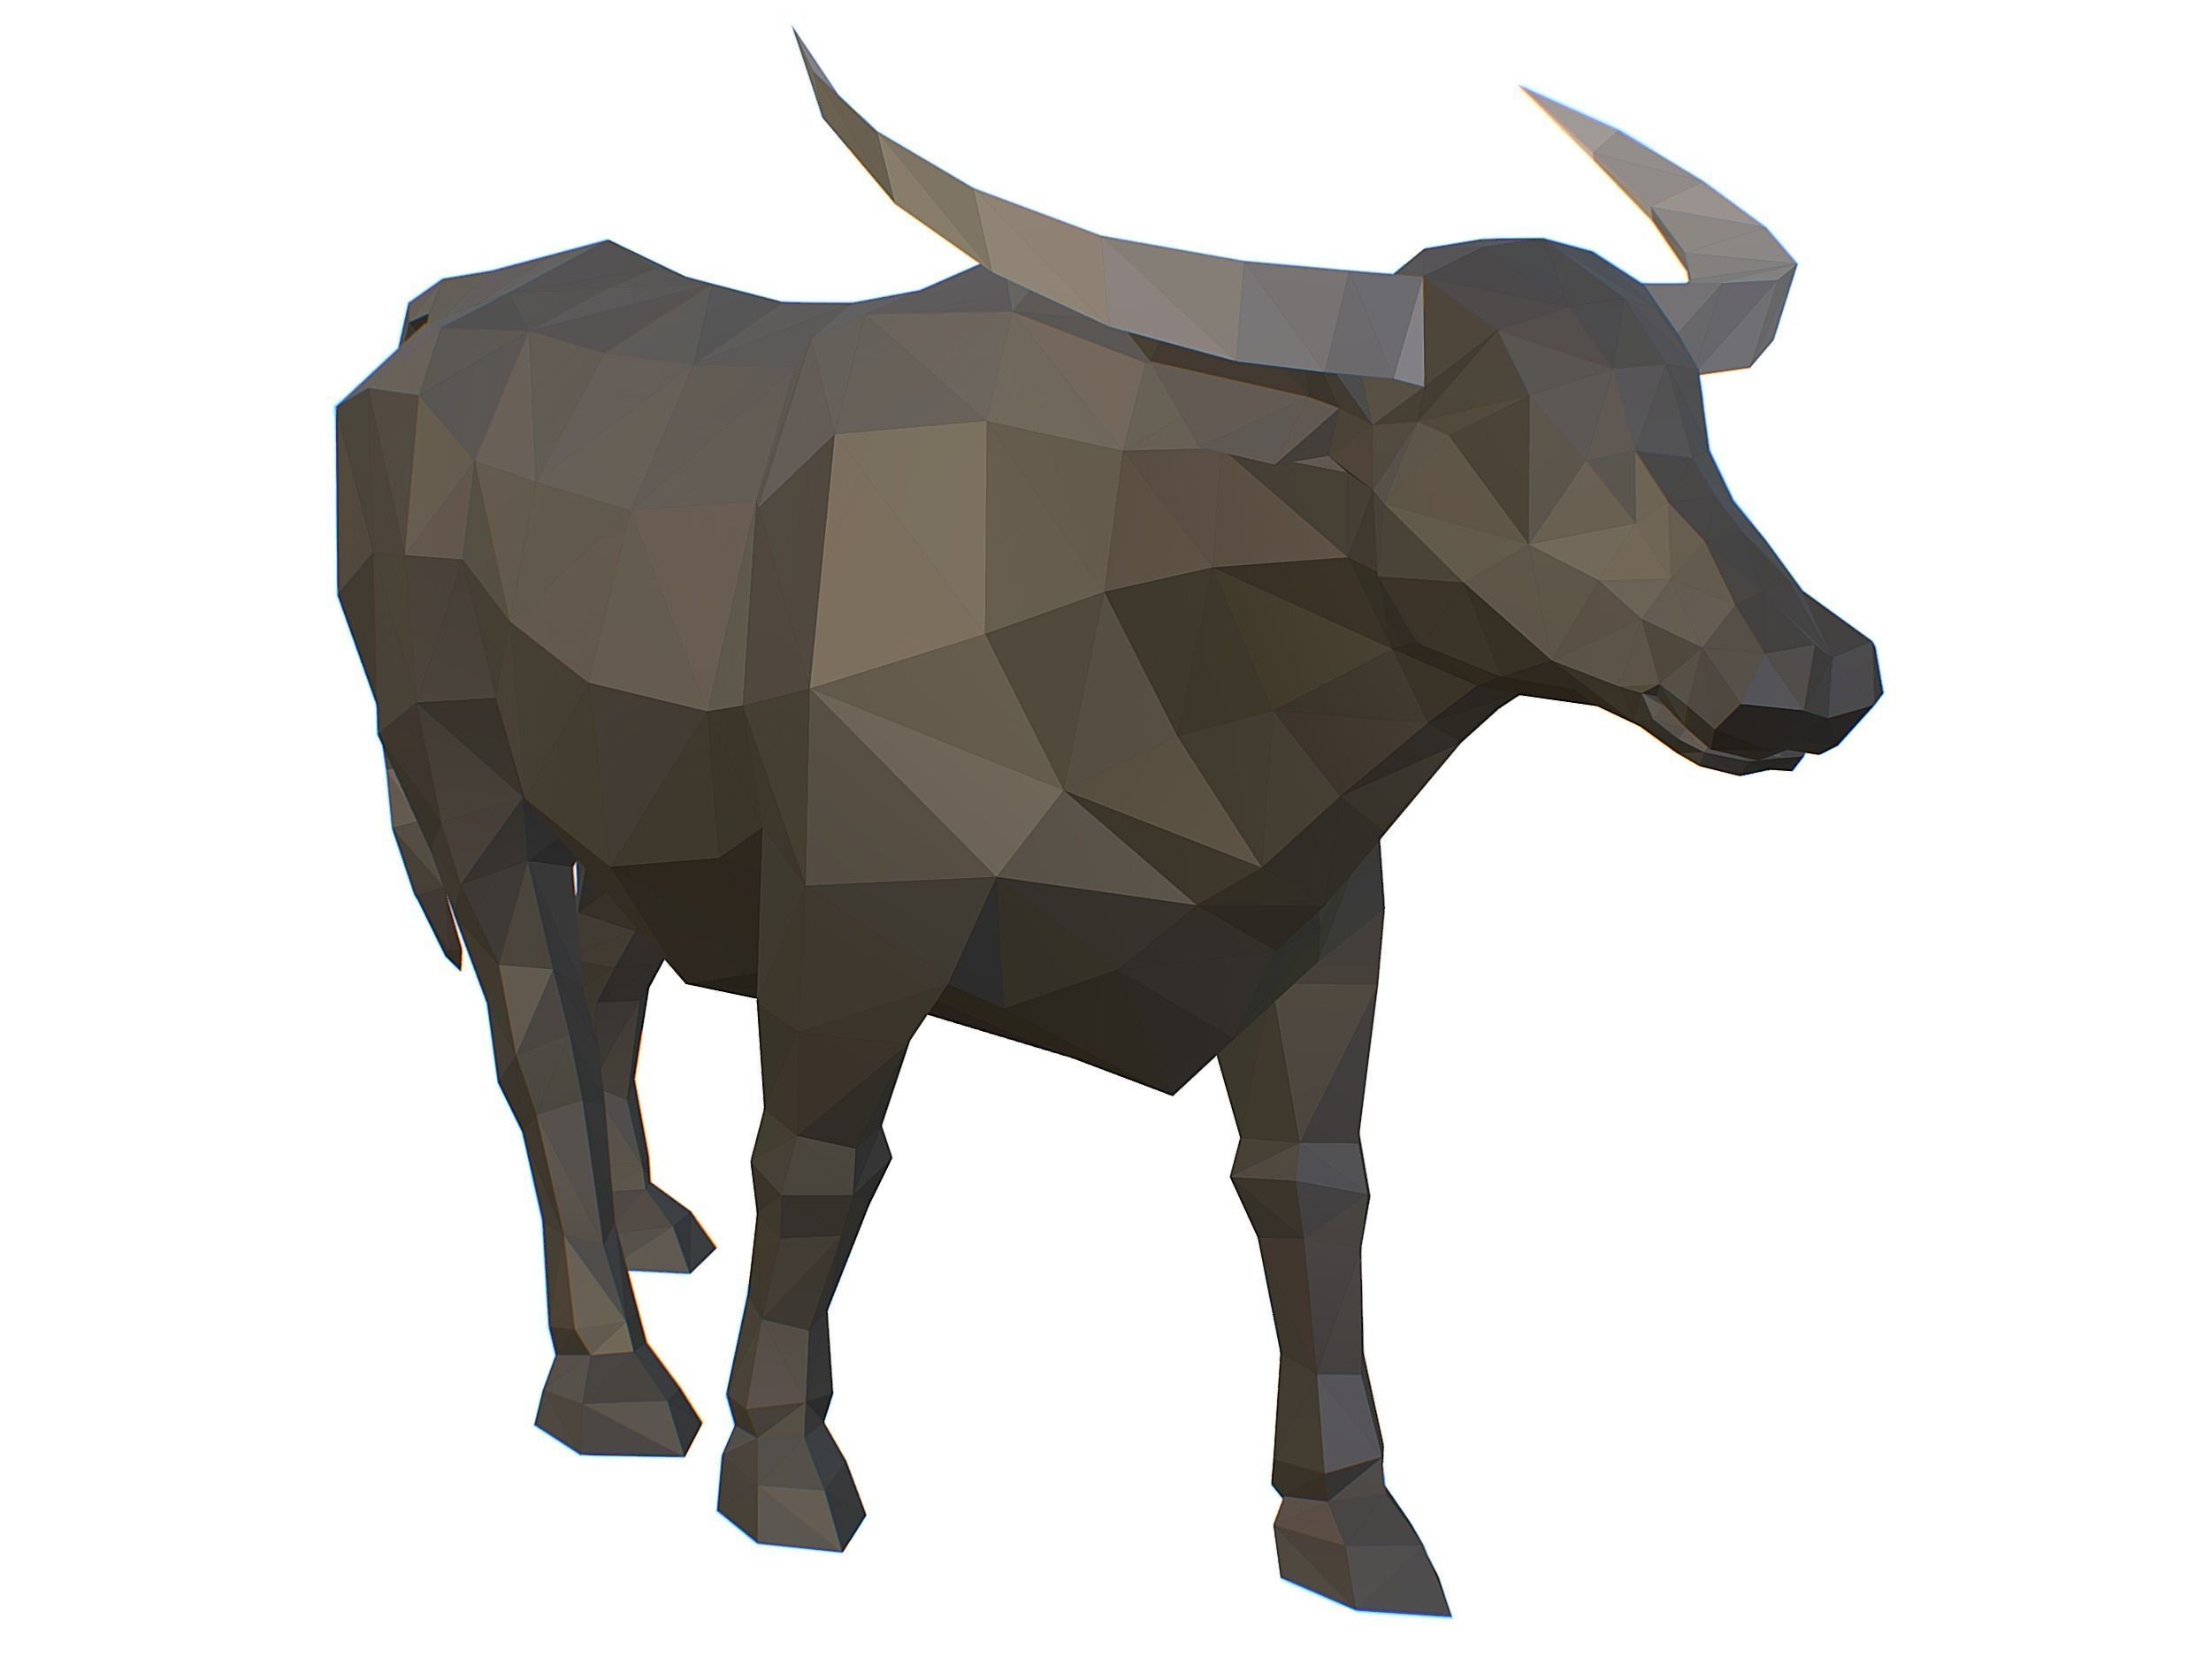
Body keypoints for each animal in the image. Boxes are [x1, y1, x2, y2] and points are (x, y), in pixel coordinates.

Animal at [336, 37, 1878, 1616]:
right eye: (1497, 437)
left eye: (1688, 431)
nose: (1812, 673)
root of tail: (440, 315)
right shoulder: (851, 930)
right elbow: (818, 1166)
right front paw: (778, 1462)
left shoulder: (1325, 935)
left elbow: (1313, 1191)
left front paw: (1348, 1518)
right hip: (466, 781)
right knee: (541, 1046)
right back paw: (611, 1377)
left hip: (634, 805)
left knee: (604, 982)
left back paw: (649, 1228)